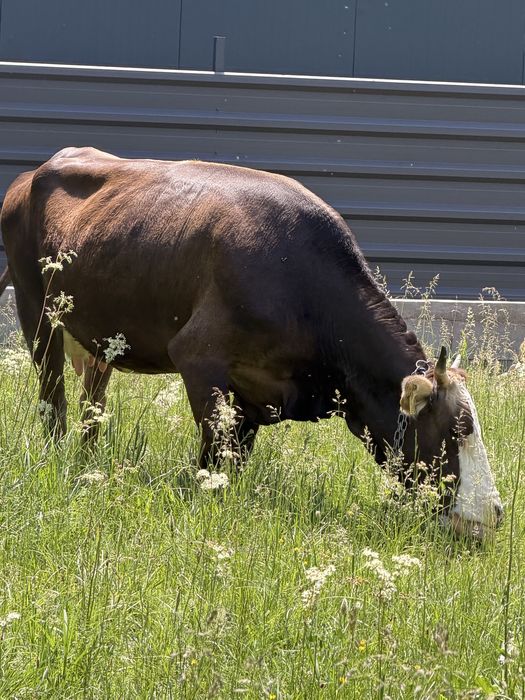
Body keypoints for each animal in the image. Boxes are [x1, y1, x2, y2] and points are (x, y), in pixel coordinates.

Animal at [0, 147, 503, 539]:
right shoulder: (198, 358)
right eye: (458, 430)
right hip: (36, 311)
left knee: (93, 405)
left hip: (99, 339)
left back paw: (90, 463)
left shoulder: (254, 393)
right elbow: (214, 452)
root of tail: (34, 172)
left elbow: (237, 456)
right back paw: (58, 459)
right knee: (53, 400)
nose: (494, 514)